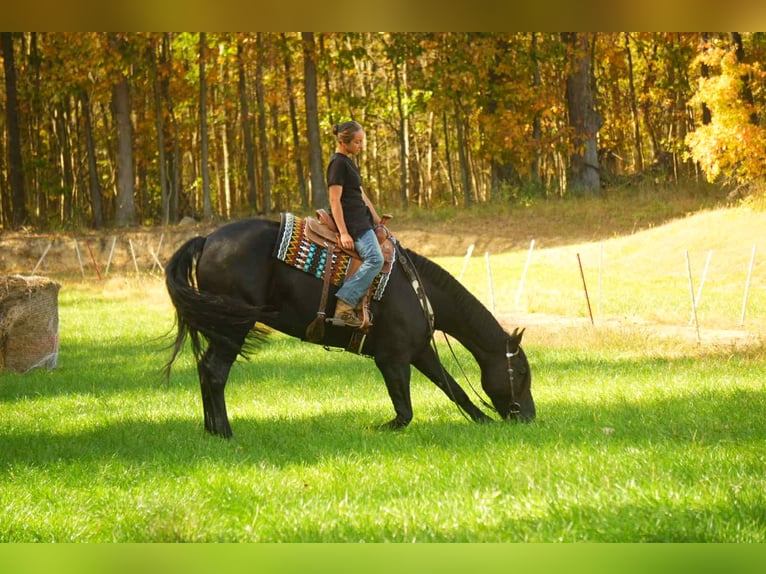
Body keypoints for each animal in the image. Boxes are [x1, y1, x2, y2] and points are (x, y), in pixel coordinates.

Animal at [163, 216, 535, 438]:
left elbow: (452, 387)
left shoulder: (419, 352)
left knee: (204, 369)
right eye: (519, 373)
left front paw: (483, 420)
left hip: (220, 328)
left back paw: (211, 429)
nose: (529, 416)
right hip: (233, 329)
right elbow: (404, 412)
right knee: (215, 371)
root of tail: (207, 240)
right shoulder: (392, 359)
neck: (418, 290)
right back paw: (225, 432)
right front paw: (378, 427)